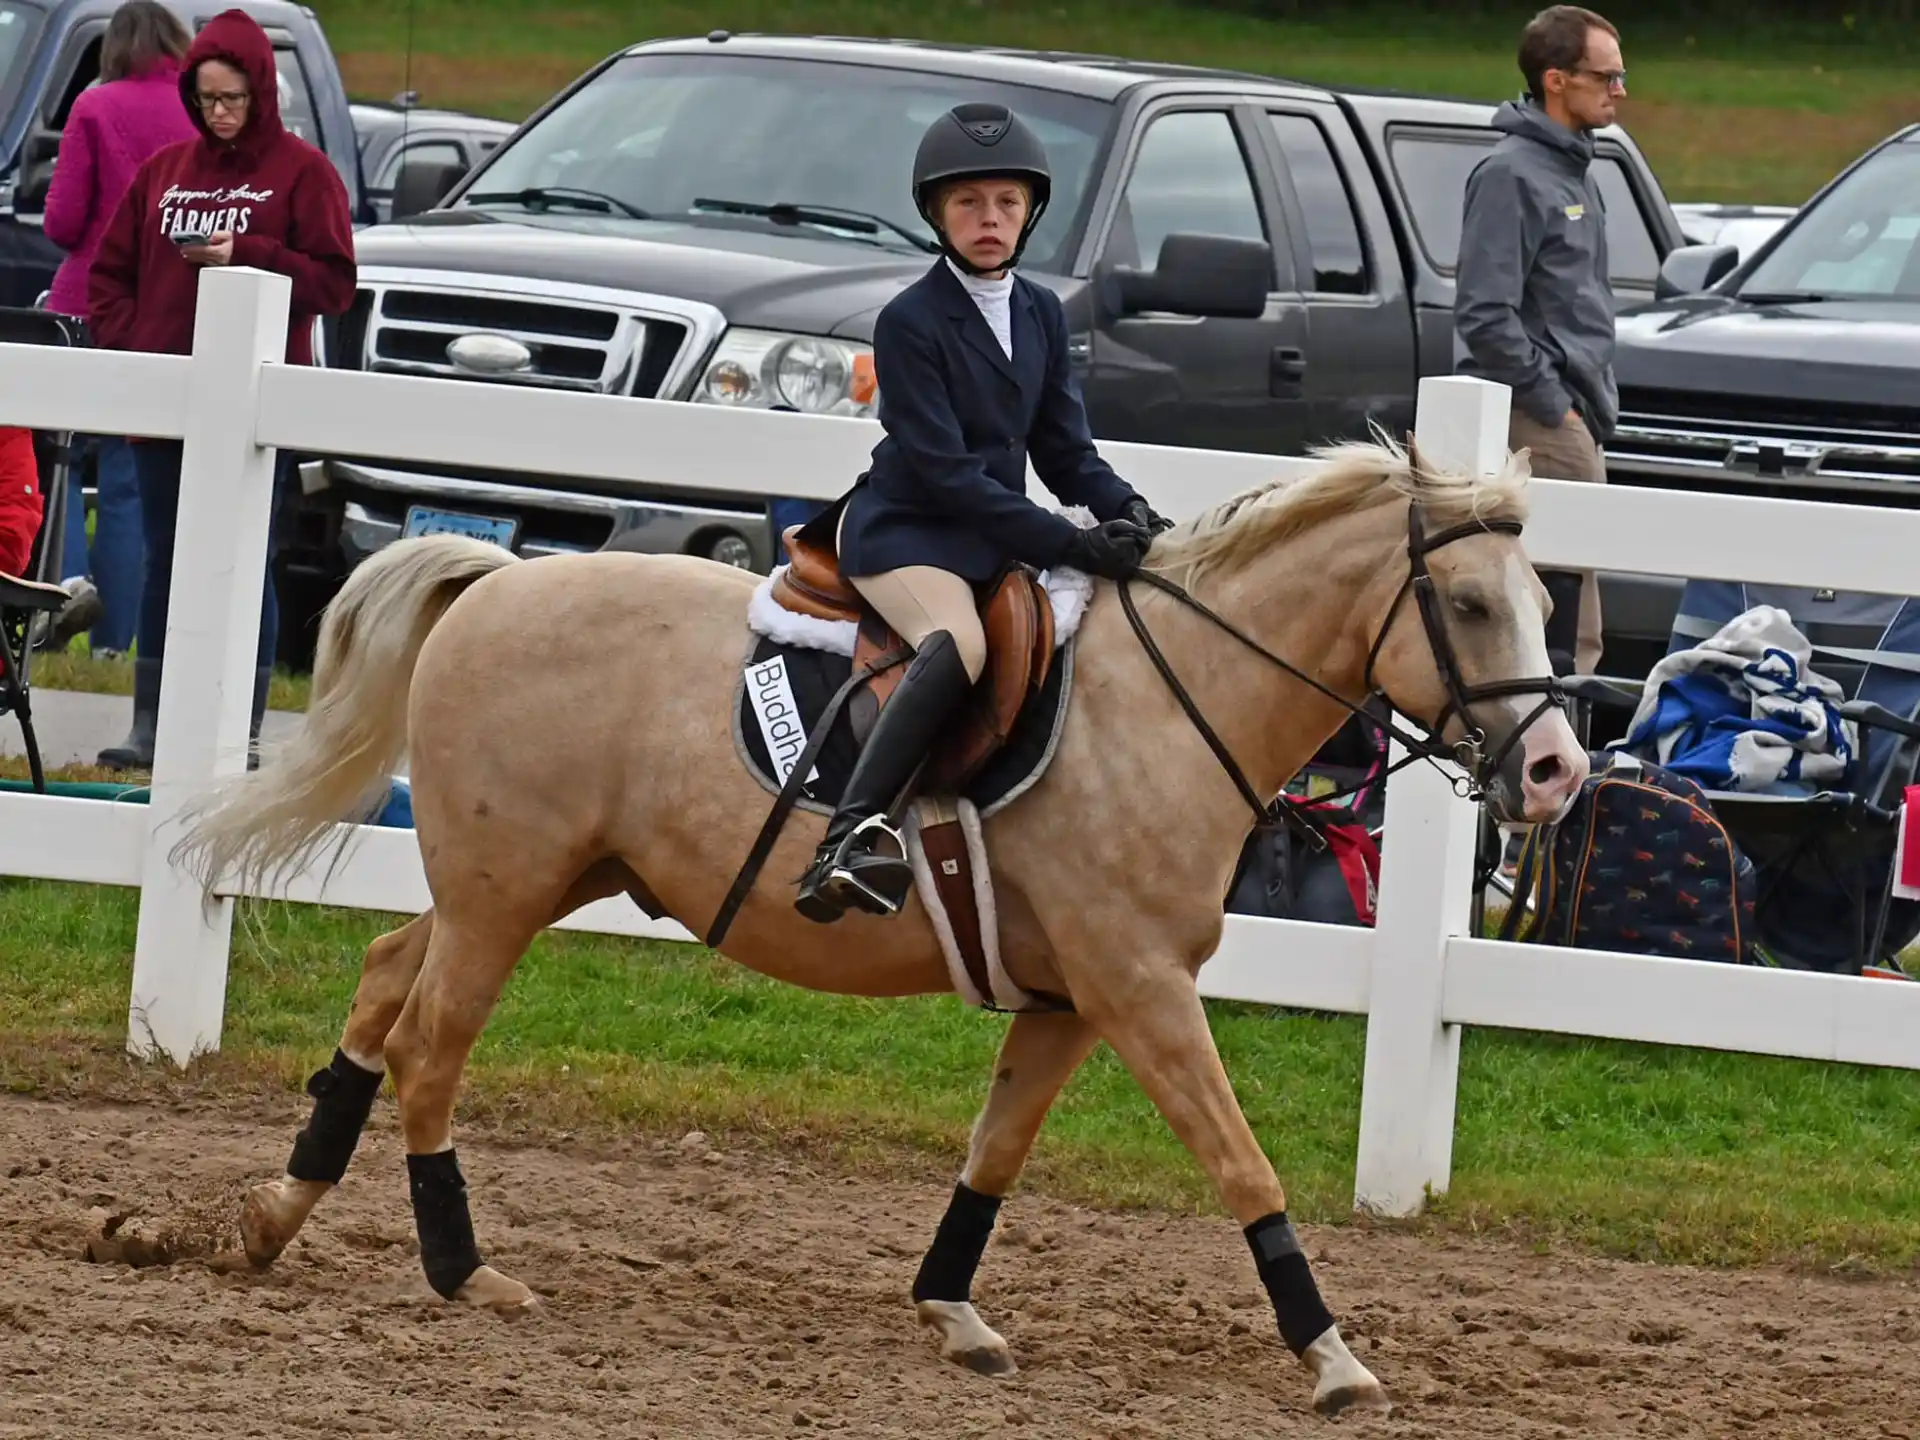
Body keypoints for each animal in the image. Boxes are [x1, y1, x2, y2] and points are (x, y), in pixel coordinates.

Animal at [173, 432, 1588, 1420]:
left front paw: (951, 1312)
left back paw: (274, 1214)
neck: (1171, 704)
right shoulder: (1139, 989)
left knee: (379, 982)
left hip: (520, 884)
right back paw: (460, 1266)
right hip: (504, 897)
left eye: (1537, 600)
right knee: (432, 1048)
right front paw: (1333, 1356)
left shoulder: (1073, 1002)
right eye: (1468, 605)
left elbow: (994, 1154)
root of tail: (499, 583)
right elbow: (1242, 1164)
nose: (1558, 773)